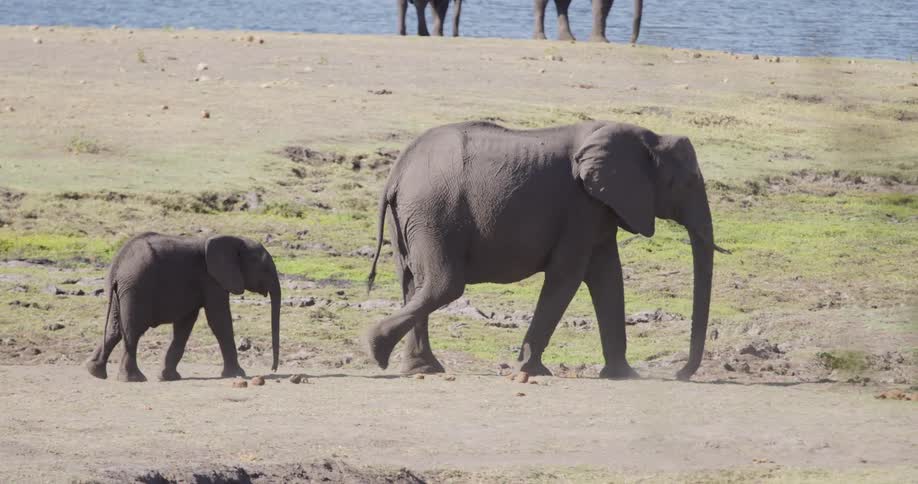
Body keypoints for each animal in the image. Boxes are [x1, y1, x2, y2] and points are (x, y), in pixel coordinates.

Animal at [84, 233, 281, 382]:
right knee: (132, 329)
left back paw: (95, 372)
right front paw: (237, 374)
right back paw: (133, 379)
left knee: (115, 329)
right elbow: (219, 321)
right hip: (136, 288)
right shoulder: (212, 280)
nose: (273, 369)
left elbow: (184, 325)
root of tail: (117, 266)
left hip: (121, 292)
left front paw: (167, 377)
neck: (233, 240)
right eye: (265, 268)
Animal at [364, 120, 726, 380]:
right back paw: (376, 347)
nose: (680, 375)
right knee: (444, 285)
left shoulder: (599, 208)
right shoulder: (581, 206)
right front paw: (531, 370)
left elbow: (608, 277)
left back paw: (420, 368)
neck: (647, 137)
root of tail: (396, 172)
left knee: (412, 282)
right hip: (433, 213)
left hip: (411, 216)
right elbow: (568, 275)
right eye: (687, 183)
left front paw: (624, 375)